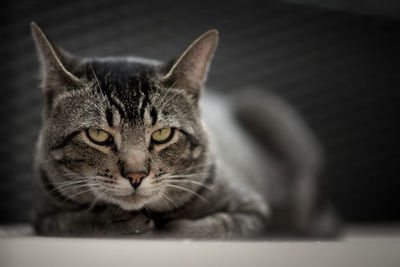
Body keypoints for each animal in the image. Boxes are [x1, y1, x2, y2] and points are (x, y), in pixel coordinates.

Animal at [32, 22, 338, 240]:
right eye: (98, 135)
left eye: (162, 134)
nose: (135, 175)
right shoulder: (43, 214)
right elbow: (68, 222)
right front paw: (116, 222)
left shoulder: (254, 210)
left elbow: (215, 227)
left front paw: (170, 227)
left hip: (264, 108)